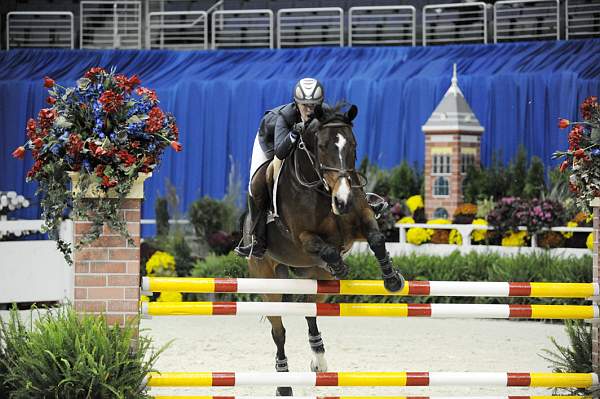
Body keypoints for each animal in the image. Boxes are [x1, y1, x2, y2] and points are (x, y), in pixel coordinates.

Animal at [241, 103, 406, 396]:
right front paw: (339, 264)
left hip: (316, 280)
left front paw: (392, 279)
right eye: (321, 146)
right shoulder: (303, 237)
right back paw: (284, 384)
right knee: (279, 332)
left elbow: (376, 238)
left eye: (353, 145)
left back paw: (319, 359)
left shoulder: (361, 221)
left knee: (310, 311)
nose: (342, 200)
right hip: (267, 281)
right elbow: (326, 249)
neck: (320, 186)